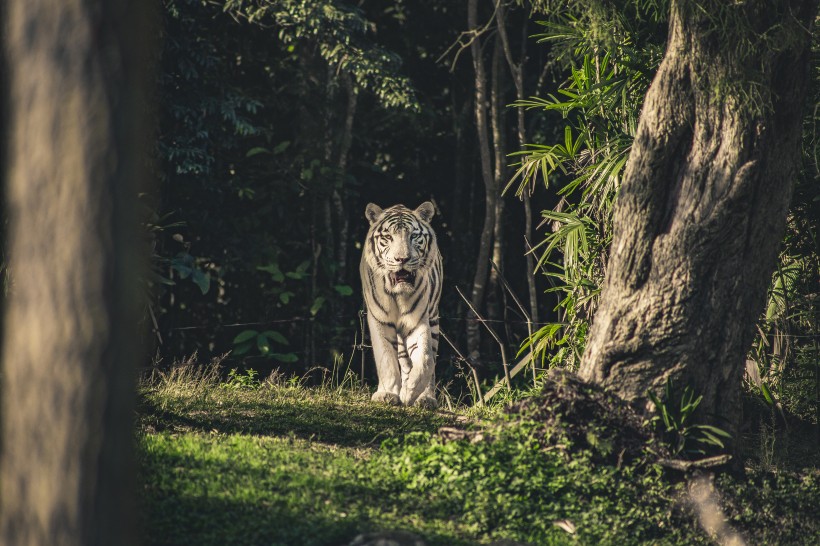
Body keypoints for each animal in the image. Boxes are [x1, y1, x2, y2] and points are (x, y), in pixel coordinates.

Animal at [358, 202, 442, 406]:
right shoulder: (379, 320)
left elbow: (425, 358)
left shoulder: (418, 321)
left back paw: (426, 398)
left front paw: (411, 391)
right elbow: (386, 357)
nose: (402, 259)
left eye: (413, 236)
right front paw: (387, 394)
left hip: (434, 318)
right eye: (388, 237)